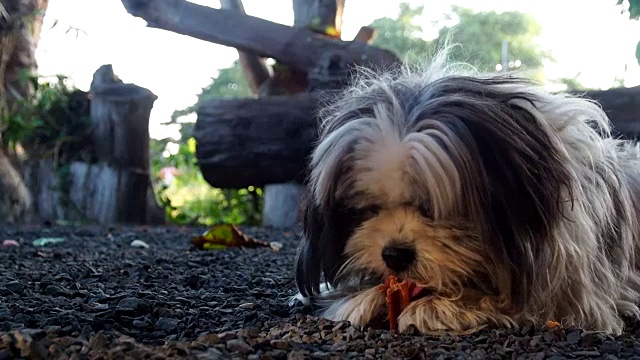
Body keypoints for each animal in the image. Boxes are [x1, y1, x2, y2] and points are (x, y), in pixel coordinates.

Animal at [292, 50, 640, 334]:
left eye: (432, 208)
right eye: (368, 209)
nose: (394, 255)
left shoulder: (573, 296)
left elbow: (521, 301)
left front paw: (441, 306)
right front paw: (358, 296)